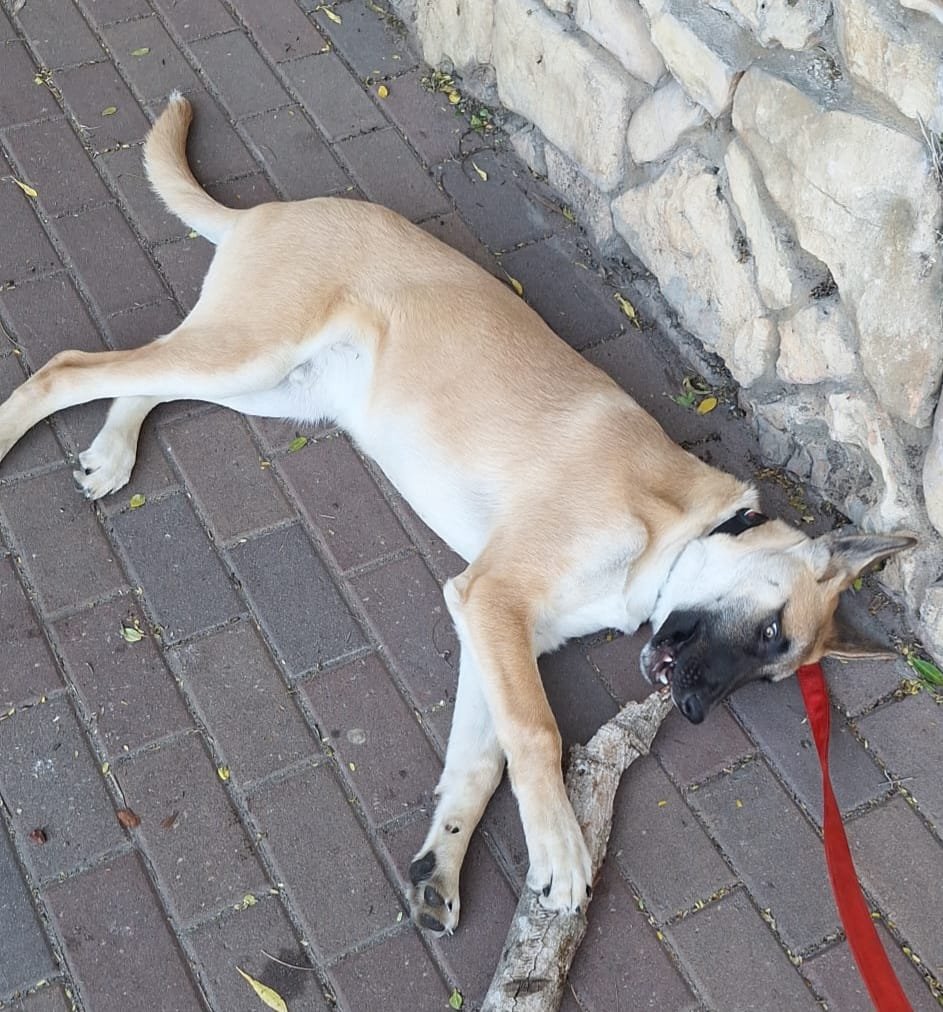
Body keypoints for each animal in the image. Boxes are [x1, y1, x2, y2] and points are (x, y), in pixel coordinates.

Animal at [0, 94, 914, 936]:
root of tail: (274, 210)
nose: (692, 708)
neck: (674, 523)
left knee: (144, 376)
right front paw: (561, 850)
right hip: (250, 351)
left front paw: (442, 862)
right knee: (73, 368)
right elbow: (537, 735)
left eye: (769, 675)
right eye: (769, 633)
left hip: (273, 385)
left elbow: (482, 761)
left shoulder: (494, 627)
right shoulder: (493, 601)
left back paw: (113, 450)